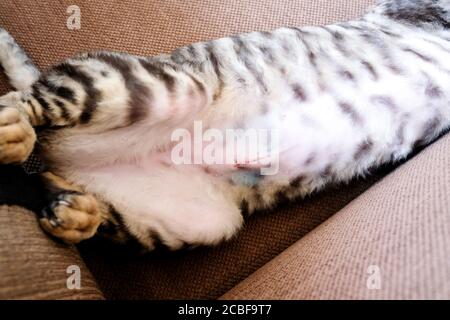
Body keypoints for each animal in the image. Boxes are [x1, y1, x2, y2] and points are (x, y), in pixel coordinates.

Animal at [0, 0, 450, 250]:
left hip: (202, 222)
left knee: (54, 184)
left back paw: (76, 212)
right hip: (159, 86)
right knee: (23, 103)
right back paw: (14, 131)